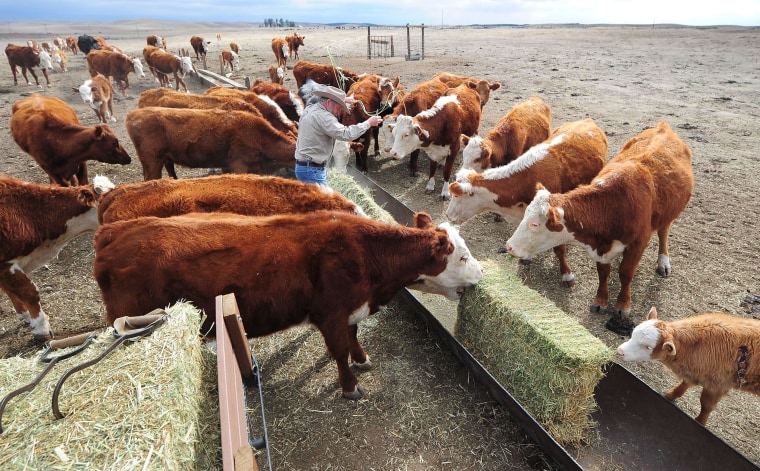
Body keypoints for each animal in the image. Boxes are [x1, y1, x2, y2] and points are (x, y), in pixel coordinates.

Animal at [93, 210, 480, 398]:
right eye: (461, 256)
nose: (479, 274)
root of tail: (113, 233)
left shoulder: (351, 310)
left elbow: (354, 337)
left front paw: (363, 358)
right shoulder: (331, 314)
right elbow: (339, 350)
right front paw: (350, 386)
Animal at [504, 121, 696, 336]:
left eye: (535, 224)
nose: (509, 246)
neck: (613, 205)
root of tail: (663, 126)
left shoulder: (638, 243)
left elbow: (625, 274)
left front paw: (622, 305)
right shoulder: (600, 246)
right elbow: (603, 273)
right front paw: (601, 301)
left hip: (669, 214)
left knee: (663, 232)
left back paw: (663, 262)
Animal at [616, 308, 760, 426]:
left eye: (648, 347)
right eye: (633, 333)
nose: (620, 351)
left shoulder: (718, 385)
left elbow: (706, 405)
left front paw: (700, 422)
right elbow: (685, 383)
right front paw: (672, 394)